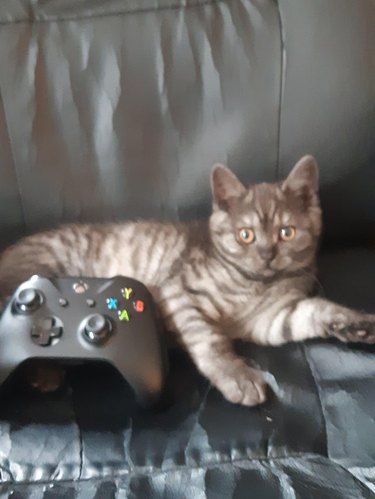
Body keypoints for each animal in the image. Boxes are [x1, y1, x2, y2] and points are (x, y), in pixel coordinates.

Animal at [0, 156, 375, 406]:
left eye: (287, 232)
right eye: (246, 235)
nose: (267, 254)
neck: (254, 284)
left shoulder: (271, 320)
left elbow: (315, 311)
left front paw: (357, 324)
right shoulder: (180, 294)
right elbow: (209, 339)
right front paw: (237, 376)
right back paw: (44, 373)